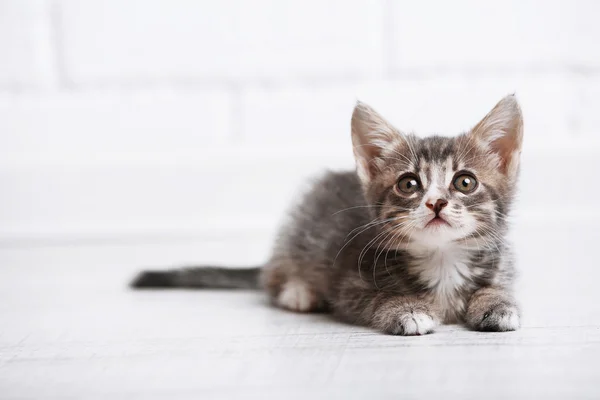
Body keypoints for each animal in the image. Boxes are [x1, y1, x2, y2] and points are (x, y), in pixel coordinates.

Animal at [130, 95, 520, 336]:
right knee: (272, 277)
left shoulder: (501, 265)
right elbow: (375, 298)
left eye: (465, 182)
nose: (436, 203)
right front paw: (406, 309)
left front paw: (497, 304)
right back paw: (299, 292)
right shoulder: (348, 282)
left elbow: (497, 288)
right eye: (408, 184)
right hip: (298, 230)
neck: (442, 258)